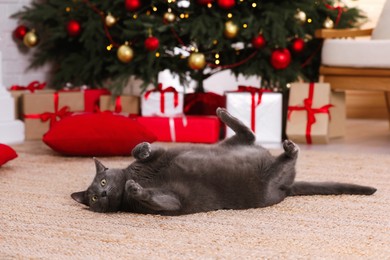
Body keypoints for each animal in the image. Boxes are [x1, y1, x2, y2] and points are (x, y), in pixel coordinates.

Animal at [71, 107, 376, 215]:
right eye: (94, 198)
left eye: (102, 181)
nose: (102, 194)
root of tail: (287, 188)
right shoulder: (170, 203)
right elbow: (158, 199)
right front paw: (134, 188)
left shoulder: (162, 156)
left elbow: (141, 152)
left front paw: (142, 150)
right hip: (264, 181)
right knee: (281, 157)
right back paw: (289, 148)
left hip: (227, 146)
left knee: (249, 135)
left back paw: (223, 113)